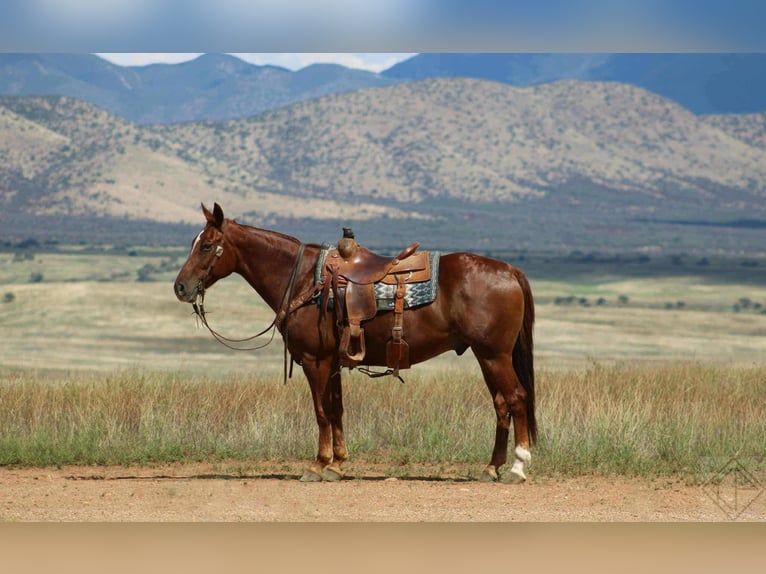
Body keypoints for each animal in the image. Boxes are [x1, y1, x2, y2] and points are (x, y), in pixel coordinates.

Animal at [174, 203, 536, 483]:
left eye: (206, 245)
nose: (180, 287)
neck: (303, 279)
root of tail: (510, 270)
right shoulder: (333, 362)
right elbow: (337, 409)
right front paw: (337, 464)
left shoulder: (314, 360)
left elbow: (321, 411)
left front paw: (317, 465)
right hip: (485, 356)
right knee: (501, 405)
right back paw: (491, 468)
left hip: (494, 355)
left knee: (516, 398)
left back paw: (517, 468)